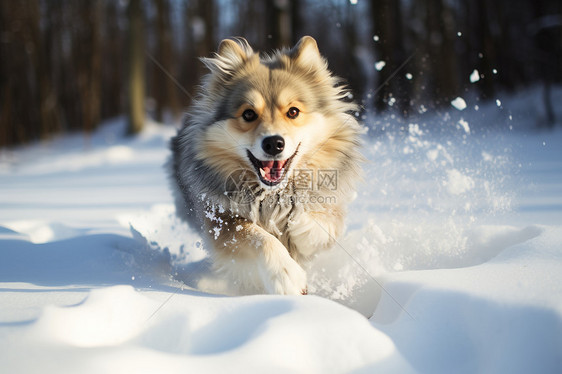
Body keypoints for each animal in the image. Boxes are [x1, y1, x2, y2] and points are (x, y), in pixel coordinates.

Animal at [168, 36, 360, 296]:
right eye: (249, 114)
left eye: (293, 112)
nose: (273, 143)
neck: (272, 193)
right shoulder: (219, 220)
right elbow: (257, 236)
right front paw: (286, 275)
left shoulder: (330, 204)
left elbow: (325, 223)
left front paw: (300, 225)